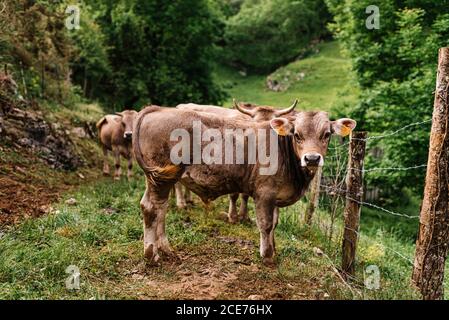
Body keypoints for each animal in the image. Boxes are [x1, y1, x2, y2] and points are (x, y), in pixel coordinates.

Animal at [131, 105, 356, 264]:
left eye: (326, 134)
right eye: (297, 134)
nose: (312, 158)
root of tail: (157, 109)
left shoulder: (275, 196)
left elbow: (274, 224)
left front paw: (274, 250)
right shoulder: (264, 193)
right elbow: (265, 224)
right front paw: (267, 256)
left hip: (159, 178)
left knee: (159, 208)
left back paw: (166, 250)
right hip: (162, 177)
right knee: (151, 208)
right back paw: (152, 255)